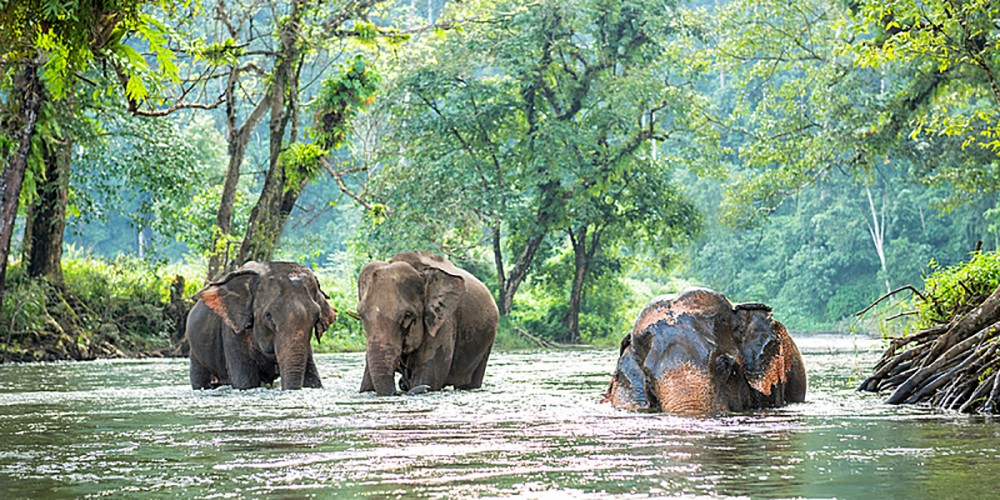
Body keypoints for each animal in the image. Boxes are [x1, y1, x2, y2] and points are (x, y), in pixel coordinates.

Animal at [188, 262, 340, 390]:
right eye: (268, 316)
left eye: (316, 317)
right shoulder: (233, 332)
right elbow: (246, 382)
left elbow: (313, 379)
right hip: (195, 351)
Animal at [360, 252, 500, 396]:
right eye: (360, 315)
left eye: (407, 316)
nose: (402, 385)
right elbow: (366, 385)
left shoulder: (443, 320)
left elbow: (429, 375)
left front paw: (423, 385)